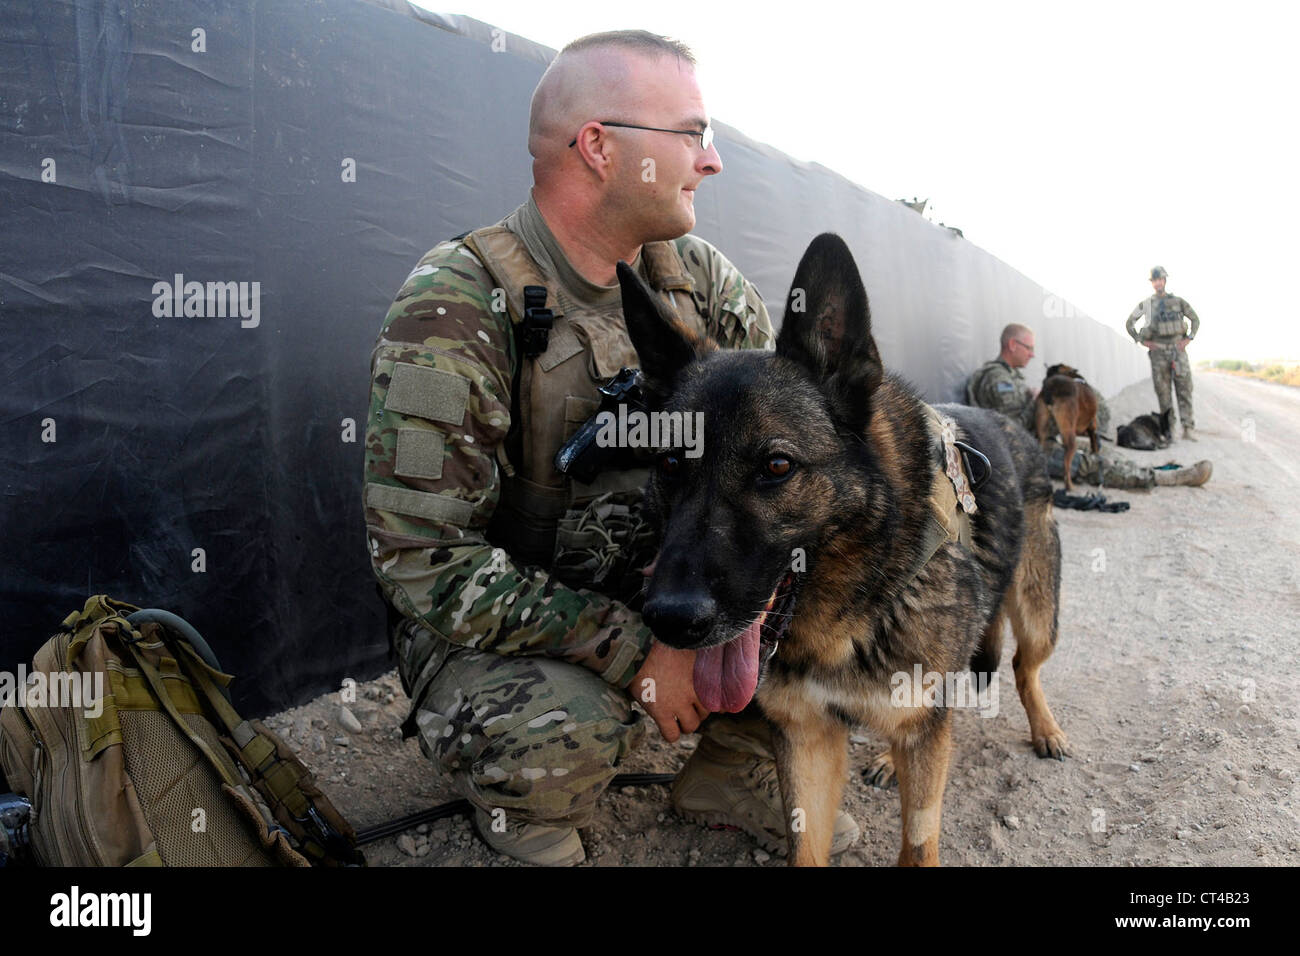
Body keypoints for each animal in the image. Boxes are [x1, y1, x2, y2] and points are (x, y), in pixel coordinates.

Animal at [616, 238, 1066, 868]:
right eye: (671, 464)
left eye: (777, 465)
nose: (671, 620)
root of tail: (1014, 423)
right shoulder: (806, 739)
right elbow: (806, 846)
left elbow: (919, 842)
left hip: (1037, 616)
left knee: (1025, 669)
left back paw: (1046, 729)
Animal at [1034, 361, 1097, 489]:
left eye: (1048, 374)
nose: (1044, 381)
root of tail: (1052, 387)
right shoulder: (1092, 424)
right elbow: (1093, 437)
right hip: (1070, 435)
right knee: (1067, 461)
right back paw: (1069, 485)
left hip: (1042, 429)